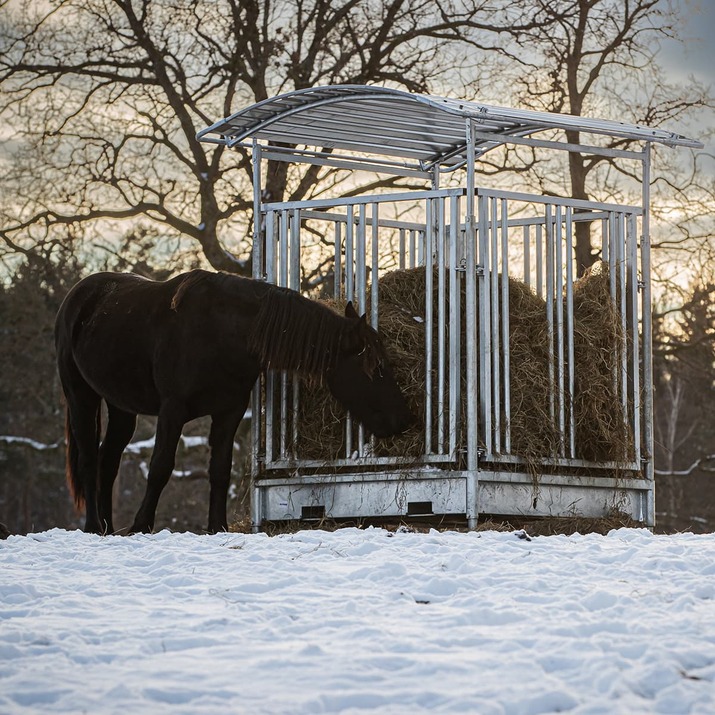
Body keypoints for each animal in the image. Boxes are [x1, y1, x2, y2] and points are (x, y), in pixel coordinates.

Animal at [56, 272, 414, 536]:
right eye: (376, 368)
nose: (403, 418)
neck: (223, 331)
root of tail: (79, 295)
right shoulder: (172, 410)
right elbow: (160, 467)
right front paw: (141, 525)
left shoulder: (229, 412)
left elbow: (219, 469)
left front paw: (218, 526)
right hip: (81, 395)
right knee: (89, 458)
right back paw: (93, 526)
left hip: (121, 407)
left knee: (108, 460)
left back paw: (107, 526)